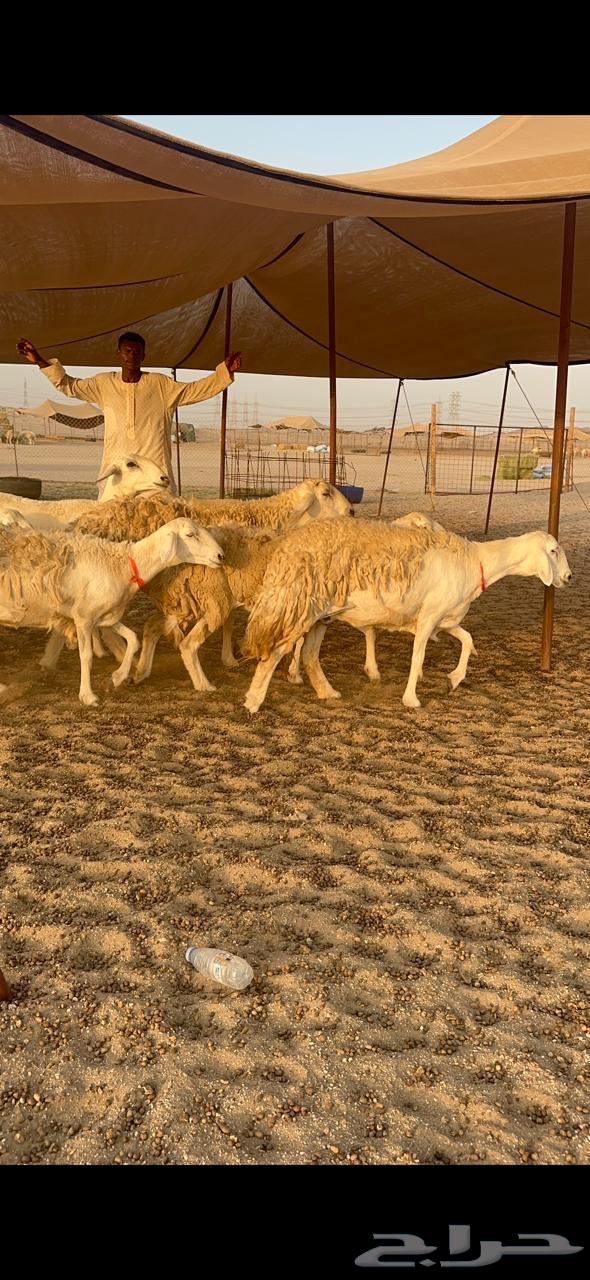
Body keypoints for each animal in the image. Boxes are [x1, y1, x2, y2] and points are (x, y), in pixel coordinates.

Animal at [0, 519, 224, 705]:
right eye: (190, 534)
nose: (221, 556)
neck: (124, 565)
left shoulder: (106, 615)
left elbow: (133, 639)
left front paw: (116, 678)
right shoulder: (84, 617)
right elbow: (87, 656)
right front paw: (88, 696)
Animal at [241, 522, 572, 714]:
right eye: (554, 550)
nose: (569, 577)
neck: (476, 562)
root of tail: (283, 550)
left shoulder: (444, 618)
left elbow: (467, 640)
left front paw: (455, 679)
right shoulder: (429, 618)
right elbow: (417, 657)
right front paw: (411, 699)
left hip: (319, 615)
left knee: (309, 655)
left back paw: (328, 692)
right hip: (297, 606)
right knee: (274, 653)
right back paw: (253, 701)